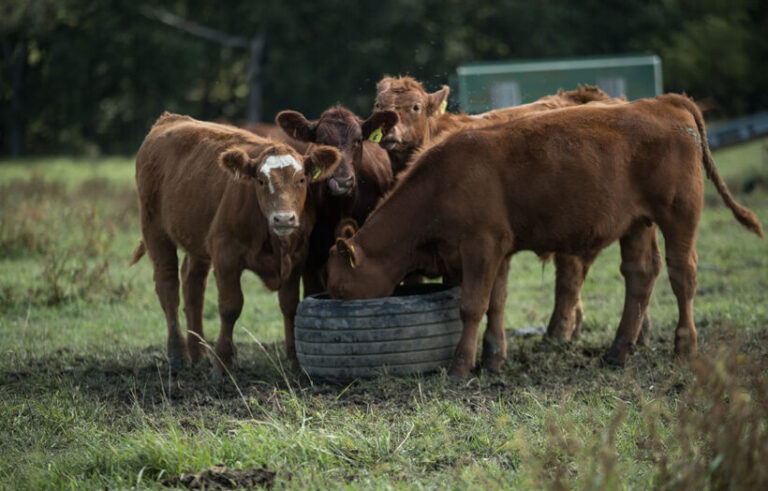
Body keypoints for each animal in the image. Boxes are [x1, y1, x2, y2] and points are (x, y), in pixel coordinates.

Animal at [130, 112, 340, 376]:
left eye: (301, 179)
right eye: (260, 180)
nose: (283, 218)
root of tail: (170, 119)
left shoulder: (296, 257)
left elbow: (290, 305)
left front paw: (294, 361)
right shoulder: (225, 253)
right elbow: (230, 307)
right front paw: (222, 363)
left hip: (198, 240)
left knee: (193, 287)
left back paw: (198, 352)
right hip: (155, 230)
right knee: (169, 289)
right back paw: (179, 355)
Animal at [324, 93, 760, 380]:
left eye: (338, 286)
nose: (329, 305)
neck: (440, 181)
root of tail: (663, 102)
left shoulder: (481, 245)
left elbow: (472, 306)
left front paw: (461, 366)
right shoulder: (497, 250)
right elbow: (496, 304)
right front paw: (492, 359)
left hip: (679, 214)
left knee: (682, 274)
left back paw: (684, 348)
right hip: (638, 223)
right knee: (640, 275)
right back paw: (618, 350)